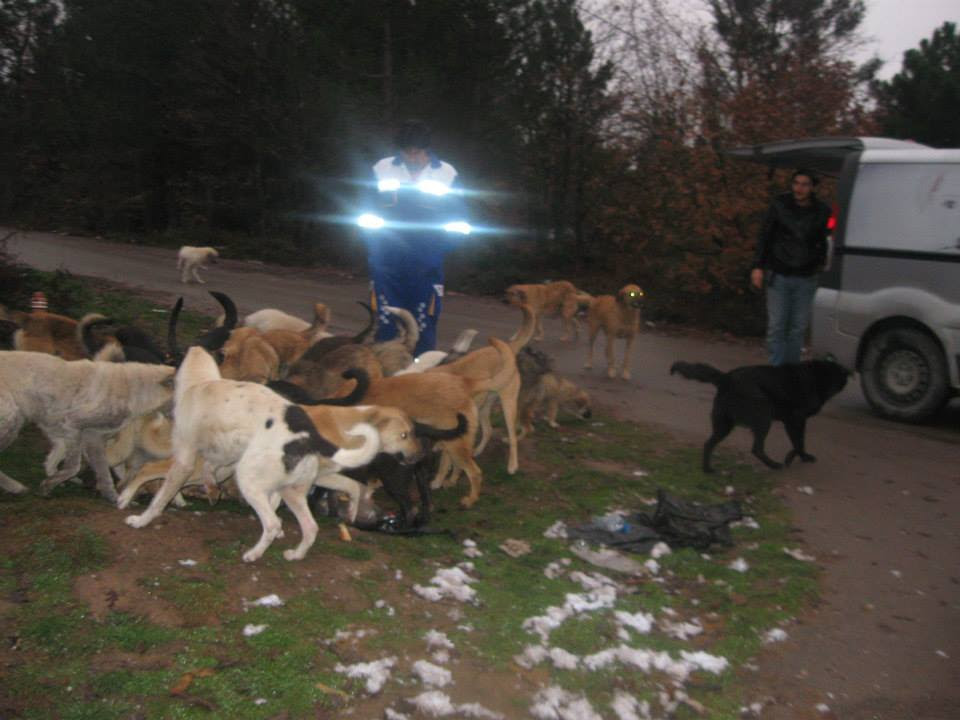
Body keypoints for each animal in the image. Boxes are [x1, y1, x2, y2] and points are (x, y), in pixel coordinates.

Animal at [0, 350, 174, 498]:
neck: (137, 392)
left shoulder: (92, 437)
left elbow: (104, 473)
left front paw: (113, 497)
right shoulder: (73, 426)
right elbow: (74, 467)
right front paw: (48, 486)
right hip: (13, 423)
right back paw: (17, 488)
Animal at [124, 348, 382, 564]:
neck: (203, 381)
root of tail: (308, 436)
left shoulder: (185, 460)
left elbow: (160, 499)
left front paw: (141, 519)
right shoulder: (222, 453)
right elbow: (209, 468)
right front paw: (211, 489)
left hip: (250, 482)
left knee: (272, 523)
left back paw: (254, 554)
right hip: (292, 492)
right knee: (310, 528)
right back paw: (295, 555)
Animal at [668, 360, 848, 472]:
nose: (846, 380)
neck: (817, 376)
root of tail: (726, 377)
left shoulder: (793, 421)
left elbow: (798, 442)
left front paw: (798, 456)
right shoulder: (796, 419)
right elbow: (799, 443)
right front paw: (793, 458)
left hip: (725, 424)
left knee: (708, 444)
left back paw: (707, 470)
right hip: (763, 416)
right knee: (757, 449)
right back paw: (774, 465)